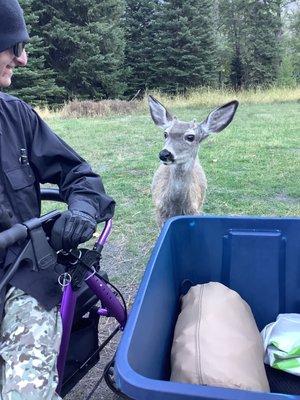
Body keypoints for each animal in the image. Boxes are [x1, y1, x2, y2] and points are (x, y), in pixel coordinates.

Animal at [149, 95, 238, 227]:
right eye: (165, 134)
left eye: (190, 137)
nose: (164, 154)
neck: (176, 208)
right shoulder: (158, 214)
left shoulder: (195, 211)